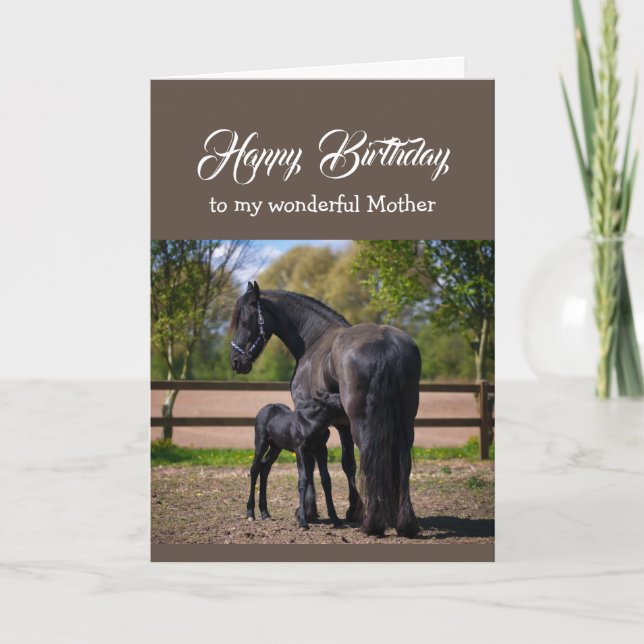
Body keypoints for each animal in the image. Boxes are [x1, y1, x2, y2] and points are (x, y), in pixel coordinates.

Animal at [247, 392, 345, 529]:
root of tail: (267, 408)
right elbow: (303, 480)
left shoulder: (321, 450)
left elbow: (326, 480)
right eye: (339, 402)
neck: (312, 423)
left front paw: (335, 518)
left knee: (265, 467)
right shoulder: (300, 450)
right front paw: (303, 521)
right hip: (261, 442)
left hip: (276, 446)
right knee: (255, 468)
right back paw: (250, 513)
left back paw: (265, 513)